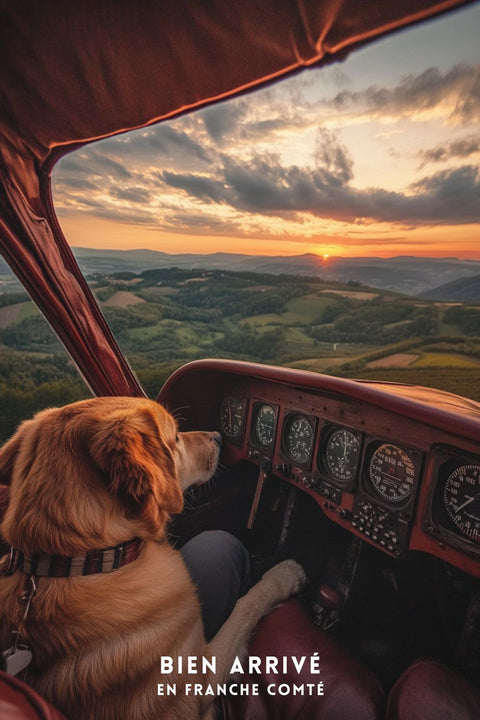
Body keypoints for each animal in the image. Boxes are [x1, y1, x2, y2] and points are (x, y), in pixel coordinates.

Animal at [0, 396, 306, 720]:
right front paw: (284, 575)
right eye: (175, 438)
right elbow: (246, 604)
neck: (81, 560)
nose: (219, 436)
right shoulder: (201, 677)